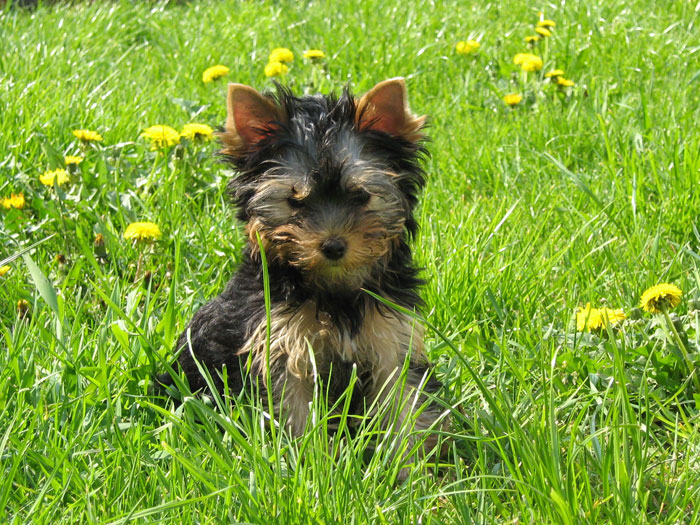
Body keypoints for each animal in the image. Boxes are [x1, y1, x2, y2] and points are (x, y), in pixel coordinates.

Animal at [157, 77, 442, 462]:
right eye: (295, 200)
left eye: (361, 196)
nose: (333, 246)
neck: (334, 290)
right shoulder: (280, 344)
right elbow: (292, 409)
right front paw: (310, 463)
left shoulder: (391, 339)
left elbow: (403, 402)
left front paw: (408, 467)